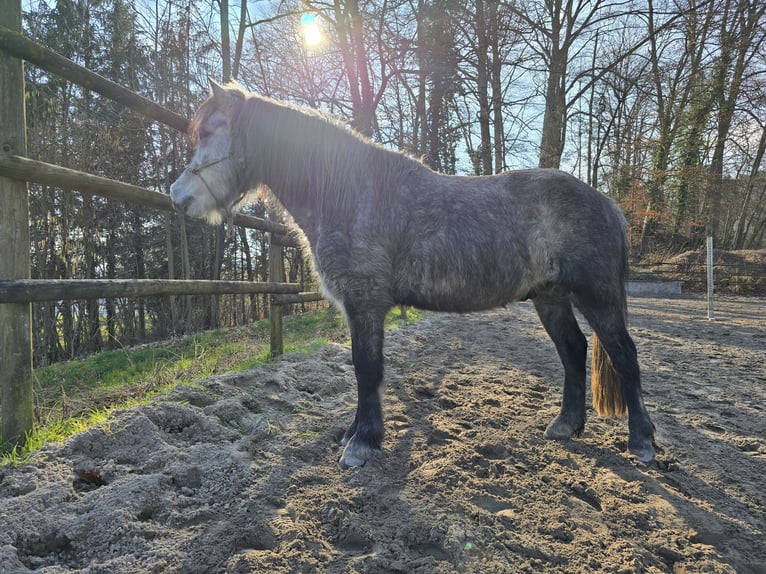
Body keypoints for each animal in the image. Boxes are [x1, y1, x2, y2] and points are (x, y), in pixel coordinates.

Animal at [171, 79, 656, 470]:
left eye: (212, 130)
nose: (179, 196)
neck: (353, 195)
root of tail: (607, 204)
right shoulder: (357, 308)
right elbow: (362, 369)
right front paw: (355, 434)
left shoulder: (366, 304)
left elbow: (367, 369)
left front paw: (362, 444)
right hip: (550, 297)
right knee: (573, 351)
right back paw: (565, 425)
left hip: (596, 296)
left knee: (624, 356)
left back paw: (642, 443)